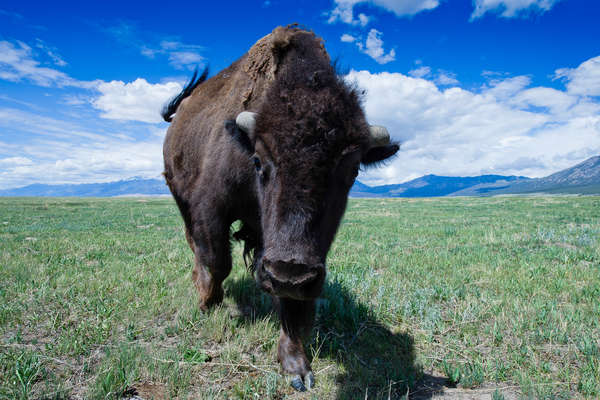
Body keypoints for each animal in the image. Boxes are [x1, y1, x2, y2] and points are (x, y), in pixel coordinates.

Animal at [162, 25, 400, 390]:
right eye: (259, 160)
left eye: (353, 172)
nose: (291, 274)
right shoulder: (210, 208)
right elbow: (217, 260)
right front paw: (207, 303)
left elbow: (292, 303)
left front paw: (296, 367)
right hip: (179, 194)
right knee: (196, 244)